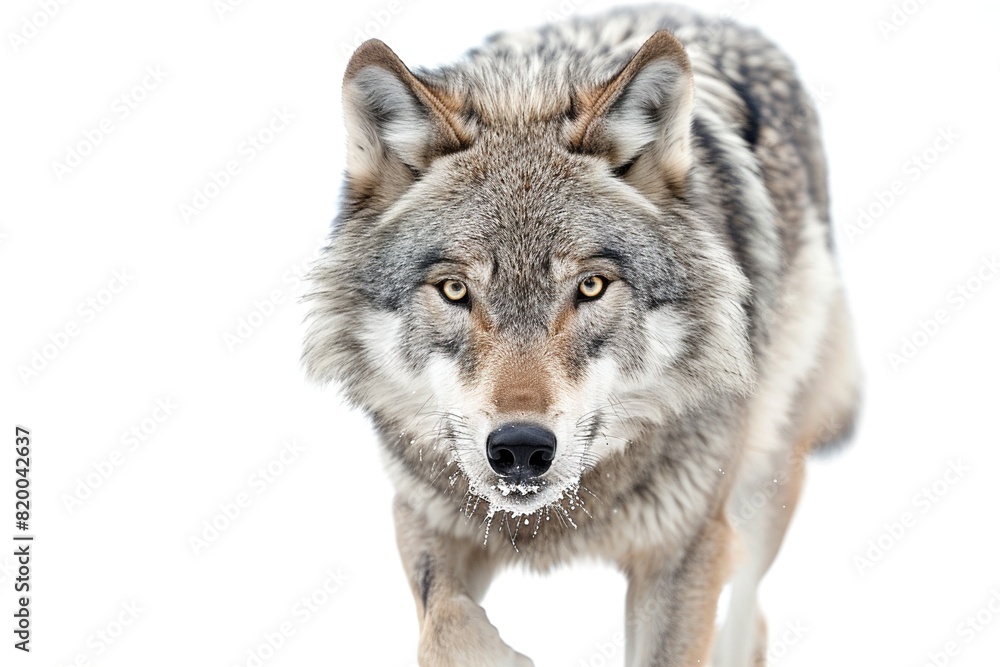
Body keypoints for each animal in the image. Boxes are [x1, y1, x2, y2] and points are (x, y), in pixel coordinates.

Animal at [304, 5, 861, 666]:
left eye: (590, 286)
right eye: (456, 290)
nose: (520, 448)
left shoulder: (685, 550)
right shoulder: (425, 514)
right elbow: (443, 626)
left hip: (762, 486)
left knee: (750, 618)